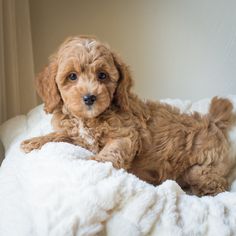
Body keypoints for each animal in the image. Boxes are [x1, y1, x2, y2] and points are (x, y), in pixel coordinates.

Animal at [21, 36, 235, 196]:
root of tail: (213, 122)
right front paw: (34, 142)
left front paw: (94, 164)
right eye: (72, 76)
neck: (90, 119)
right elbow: (60, 136)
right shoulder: (77, 137)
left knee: (217, 185)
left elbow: (110, 153)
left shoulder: (126, 135)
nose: (89, 97)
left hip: (202, 169)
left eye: (102, 75)